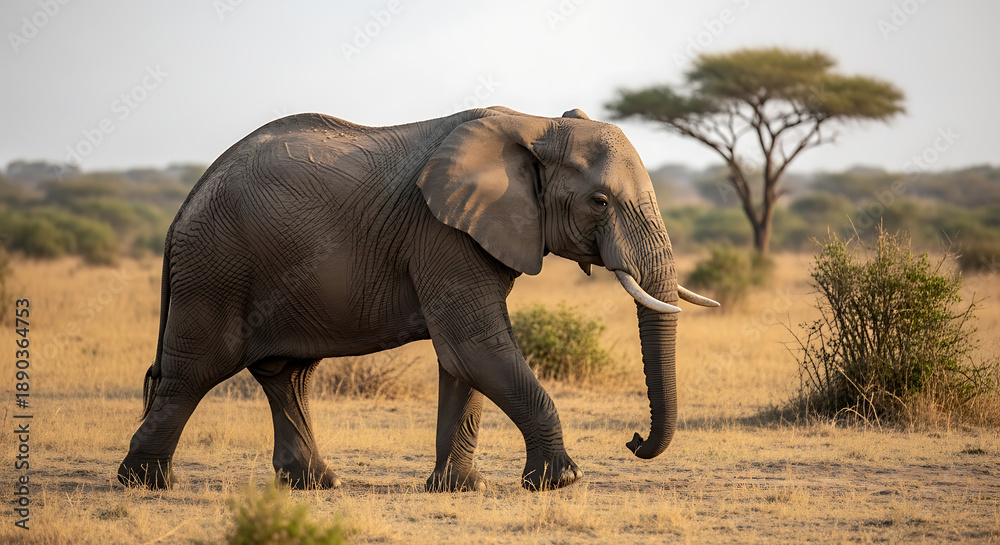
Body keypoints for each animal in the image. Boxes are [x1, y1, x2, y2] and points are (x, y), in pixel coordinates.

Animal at [117, 106, 718, 493]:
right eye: (599, 201)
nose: (633, 439)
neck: (537, 123)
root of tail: (187, 199)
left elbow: (462, 361)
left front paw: (458, 490)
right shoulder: (442, 232)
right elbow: (475, 346)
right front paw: (560, 482)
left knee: (286, 374)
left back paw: (316, 485)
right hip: (215, 267)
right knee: (193, 372)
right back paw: (145, 483)